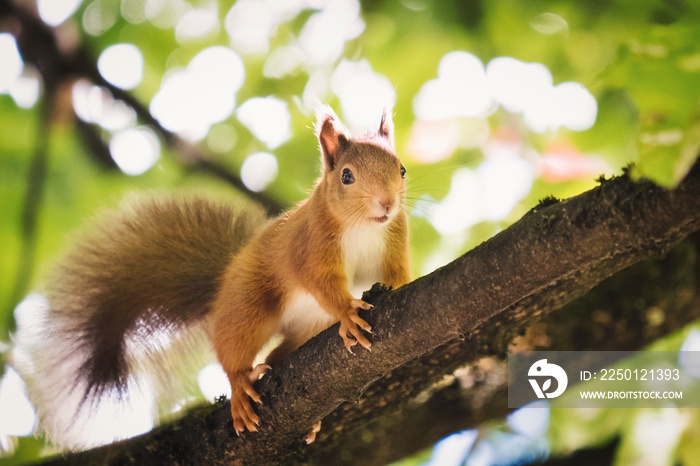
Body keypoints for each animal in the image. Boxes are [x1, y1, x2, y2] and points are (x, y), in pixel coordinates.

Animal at [13, 105, 410, 448]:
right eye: (346, 176)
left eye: (402, 170)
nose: (387, 203)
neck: (364, 226)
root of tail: (220, 290)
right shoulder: (310, 244)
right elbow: (319, 280)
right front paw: (347, 312)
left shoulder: (393, 240)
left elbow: (396, 274)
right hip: (248, 305)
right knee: (233, 349)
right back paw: (240, 388)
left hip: (306, 327)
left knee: (281, 352)